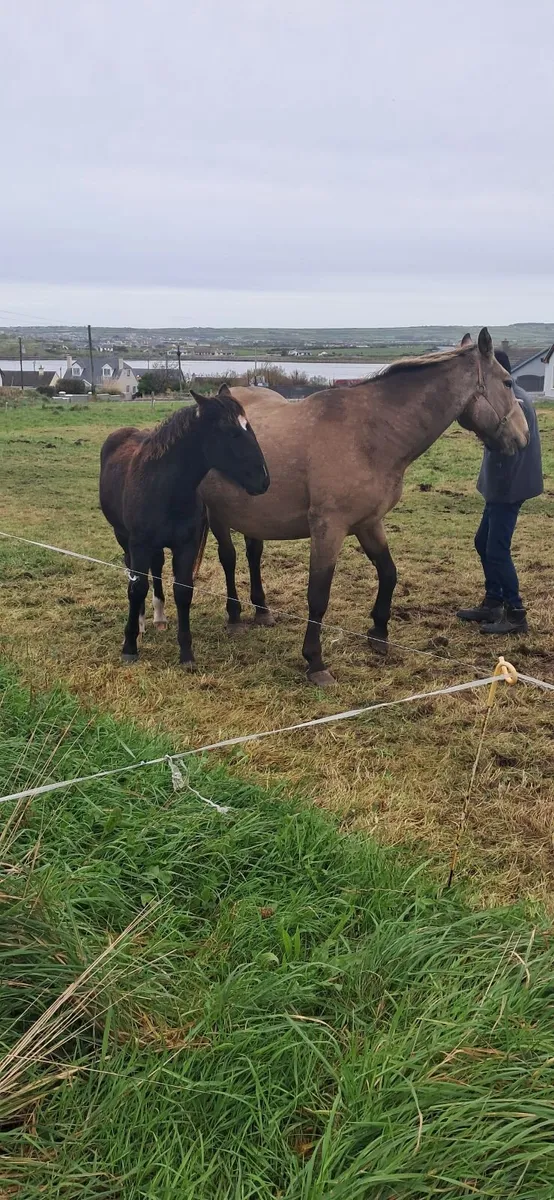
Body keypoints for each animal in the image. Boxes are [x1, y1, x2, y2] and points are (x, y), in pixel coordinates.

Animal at [99, 384, 269, 667]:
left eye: (250, 426)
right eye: (230, 431)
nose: (263, 479)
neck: (165, 488)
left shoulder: (186, 545)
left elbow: (183, 590)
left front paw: (186, 653)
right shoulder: (139, 543)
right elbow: (137, 587)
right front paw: (129, 646)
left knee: (156, 568)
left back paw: (159, 616)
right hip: (123, 536)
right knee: (134, 573)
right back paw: (142, 621)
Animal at [196, 329, 529, 686]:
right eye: (508, 382)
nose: (523, 437)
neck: (370, 434)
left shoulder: (369, 523)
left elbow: (389, 573)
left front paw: (379, 633)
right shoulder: (328, 528)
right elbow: (318, 594)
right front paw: (315, 661)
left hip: (253, 516)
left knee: (253, 556)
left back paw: (262, 611)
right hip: (217, 514)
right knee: (229, 559)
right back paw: (234, 617)